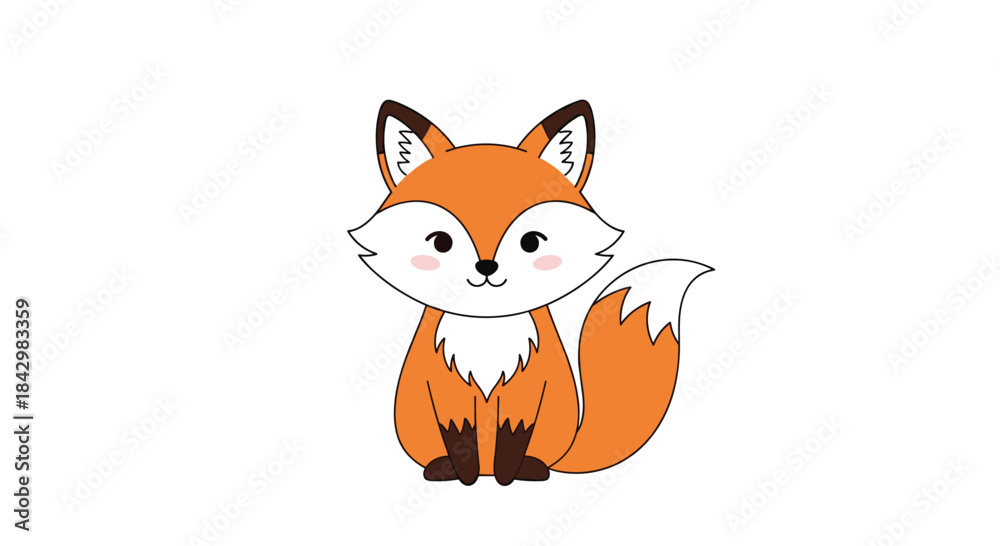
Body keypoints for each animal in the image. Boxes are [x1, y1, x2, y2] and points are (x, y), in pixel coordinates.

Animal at [349, 100, 711, 485]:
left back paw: (529, 469)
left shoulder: (528, 391)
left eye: (532, 242)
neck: (487, 330)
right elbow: (460, 436)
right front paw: (464, 474)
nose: (486, 267)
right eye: (441, 242)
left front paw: (508, 475)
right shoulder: (445, 391)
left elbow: (513, 435)